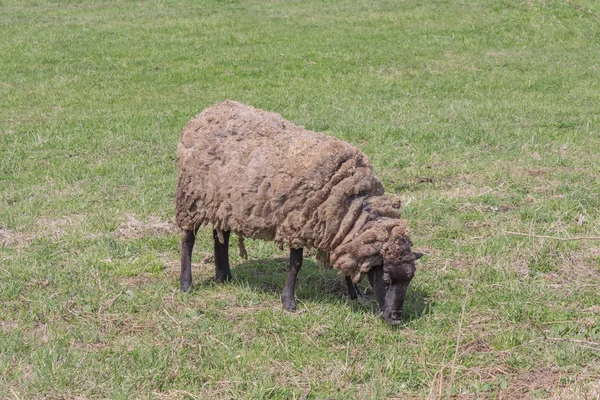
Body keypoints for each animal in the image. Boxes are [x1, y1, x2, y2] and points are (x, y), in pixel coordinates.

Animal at [175, 100, 422, 324]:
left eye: (409, 280)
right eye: (386, 280)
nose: (396, 320)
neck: (349, 200)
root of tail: (206, 112)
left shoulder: (338, 230)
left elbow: (345, 262)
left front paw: (355, 294)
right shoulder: (296, 222)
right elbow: (296, 264)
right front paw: (288, 302)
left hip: (224, 202)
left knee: (221, 236)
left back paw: (224, 276)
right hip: (192, 197)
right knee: (188, 239)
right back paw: (187, 284)